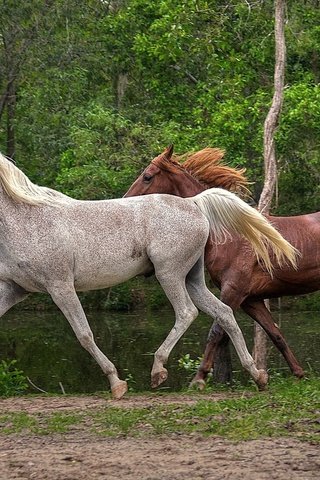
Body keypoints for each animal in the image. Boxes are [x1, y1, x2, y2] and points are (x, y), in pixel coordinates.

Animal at [0, 149, 298, 398]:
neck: (26, 218)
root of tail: (194, 203)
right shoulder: (15, 289)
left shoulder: (60, 286)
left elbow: (84, 334)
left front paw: (117, 384)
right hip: (192, 279)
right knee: (224, 312)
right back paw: (257, 375)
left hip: (169, 274)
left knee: (187, 312)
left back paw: (158, 371)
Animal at [125, 145, 320, 386]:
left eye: (147, 176)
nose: (125, 200)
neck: (230, 234)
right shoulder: (251, 300)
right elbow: (275, 334)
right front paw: (298, 373)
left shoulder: (233, 291)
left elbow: (217, 331)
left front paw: (199, 378)